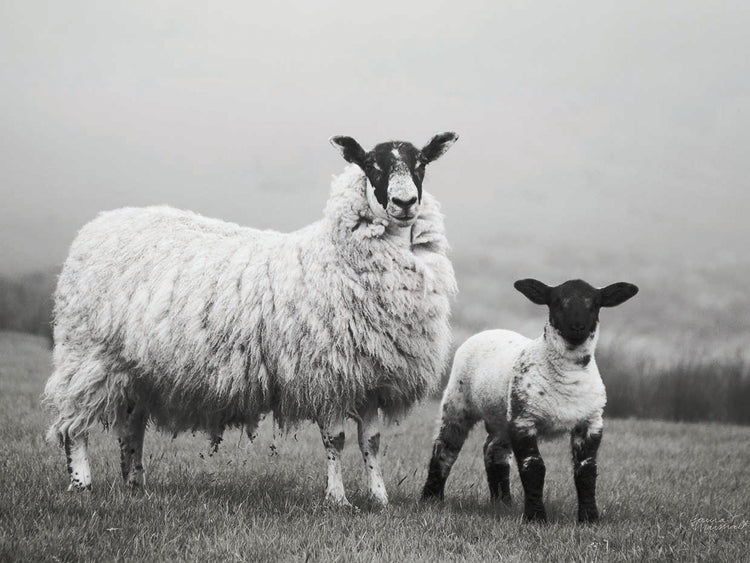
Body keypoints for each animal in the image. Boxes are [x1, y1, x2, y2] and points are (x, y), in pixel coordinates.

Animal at [43, 133, 459, 507]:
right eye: (372, 165)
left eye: (421, 163)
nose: (405, 203)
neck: (334, 254)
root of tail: (97, 225)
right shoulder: (327, 374)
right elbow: (336, 440)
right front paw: (338, 500)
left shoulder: (372, 377)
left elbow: (370, 442)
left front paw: (379, 499)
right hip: (87, 354)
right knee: (73, 424)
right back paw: (81, 484)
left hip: (136, 369)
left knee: (131, 426)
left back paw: (134, 484)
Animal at [421, 278, 638, 523]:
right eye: (556, 302)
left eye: (595, 303)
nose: (577, 327)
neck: (567, 375)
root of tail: (490, 330)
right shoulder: (524, 420)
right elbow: (533, 467)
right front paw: (535, 517)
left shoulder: (591, 423)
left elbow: (586, 470)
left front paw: (589, 519)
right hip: (458, 403)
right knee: (445, 449)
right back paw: (431, 498)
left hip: (502, 416)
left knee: (494, 450)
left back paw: (502, 502)